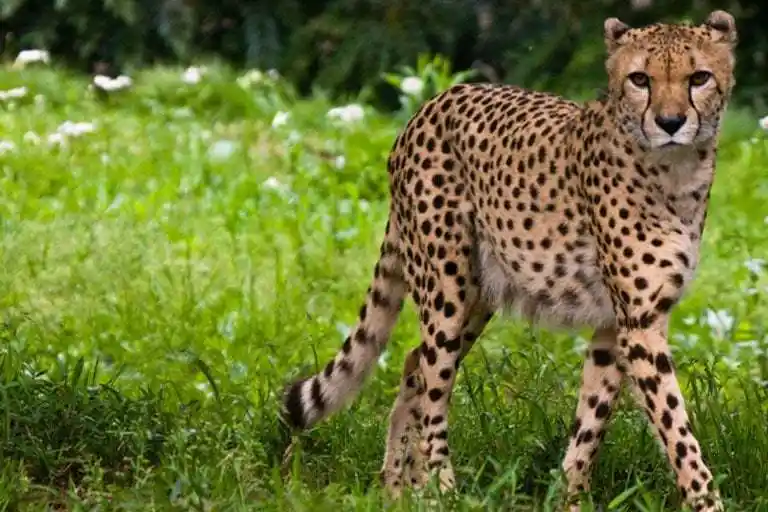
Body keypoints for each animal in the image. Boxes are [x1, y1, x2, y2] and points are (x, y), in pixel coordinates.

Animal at [281, 10, 737, 512]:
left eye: (699, 78)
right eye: (640, 79)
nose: (670, 121)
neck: (677, 173)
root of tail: (433, 103)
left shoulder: (615, 325)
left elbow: (591, 421)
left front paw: (570, 497)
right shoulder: (639, 324)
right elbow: (676, 427)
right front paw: (707, 500)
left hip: (477, 295)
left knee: (414, 364)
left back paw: (399, 488)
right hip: (445, 288)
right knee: (432, 381)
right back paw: (441, 487)